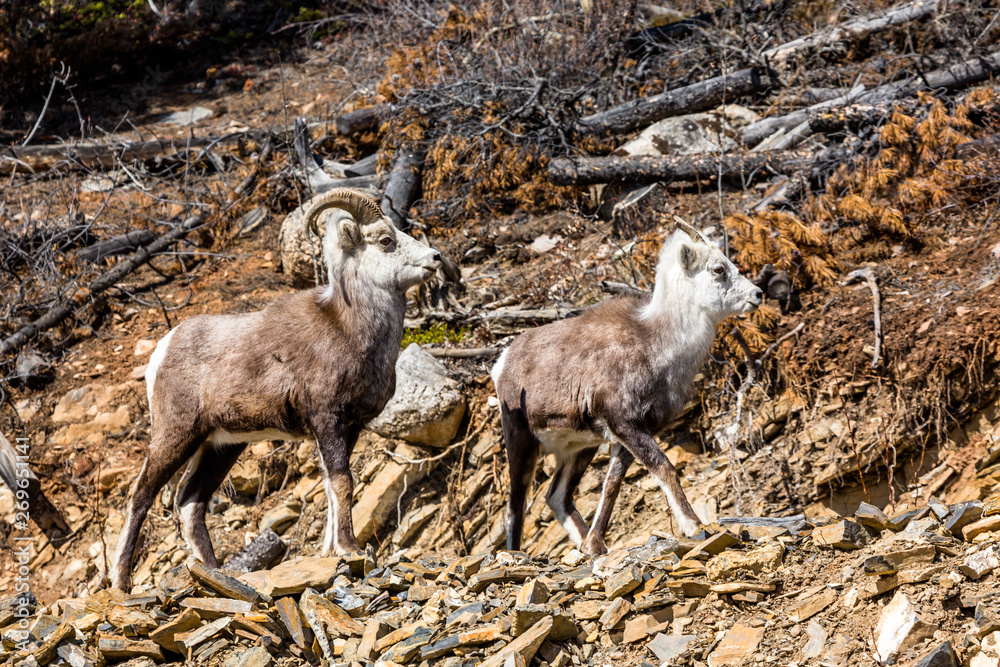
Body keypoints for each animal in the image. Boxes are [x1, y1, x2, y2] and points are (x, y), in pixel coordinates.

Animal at [110, 189, 441, 590]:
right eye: (385, 240)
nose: (435, 258)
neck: (350, 331)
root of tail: (162, 350)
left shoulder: (349, 428)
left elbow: (332, 486)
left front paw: (329, 551)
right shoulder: (327, 419)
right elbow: (343, 483)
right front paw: (350, 548)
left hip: (221, 446)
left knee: (190, 503)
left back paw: (215, 571)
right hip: (177, 435)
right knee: (141, 496)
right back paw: (121, 582)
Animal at [491, 220, 763, 555]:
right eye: (718, 269)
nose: (758, 294)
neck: (657, 342)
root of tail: (503, 362)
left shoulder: (627, 434)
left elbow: (612, 484)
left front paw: (595, 544)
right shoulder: (625, 423)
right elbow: (664, 468)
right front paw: (694, 525)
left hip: (579, 448)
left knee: (557, 497)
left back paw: (586, 545)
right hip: (521, 440)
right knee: (516, 503)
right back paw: (513, 553)